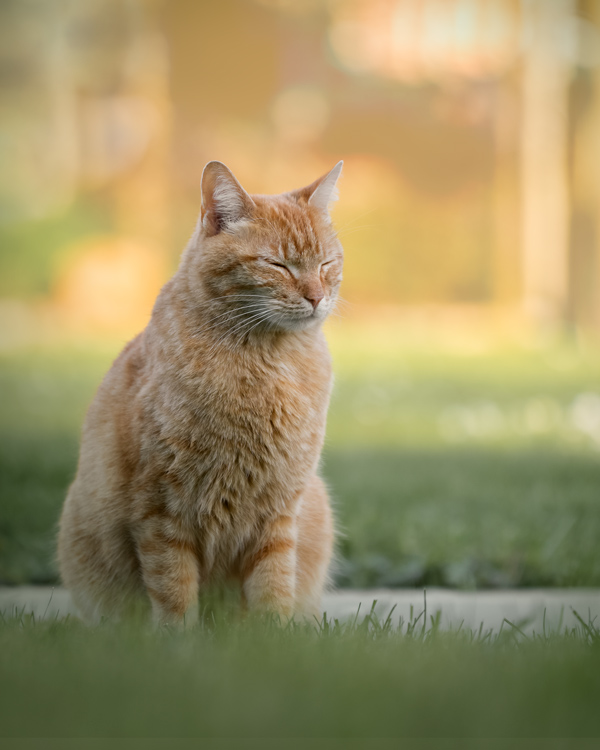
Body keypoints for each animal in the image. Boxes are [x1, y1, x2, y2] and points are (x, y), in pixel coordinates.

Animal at [59, 160, 346, 628]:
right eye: (278, 264)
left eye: (326, 263)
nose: (317, 297)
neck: (267, 361)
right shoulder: (161, 510)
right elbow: (173, 589)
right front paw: (181, 641)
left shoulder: (280, 510)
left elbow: (273, 585)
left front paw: (274, 637)